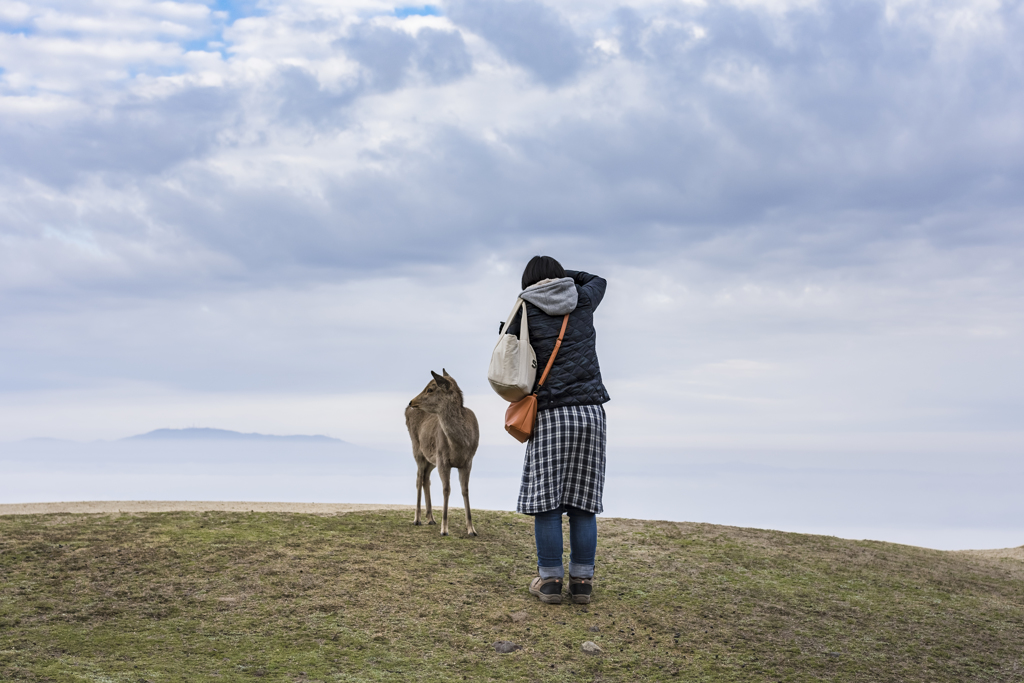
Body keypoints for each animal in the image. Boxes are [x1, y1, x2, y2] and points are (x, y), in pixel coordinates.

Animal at [403, 370, 479, 536]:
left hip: (431, 459)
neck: (459, 445)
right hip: (417, 449)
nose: (411, 402)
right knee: (419, 478)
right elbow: (446, 489)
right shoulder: (443, 459)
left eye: (430, 389)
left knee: (426, 478)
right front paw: (444, 529)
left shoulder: (468, 461)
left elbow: (465, 490)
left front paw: (472, 530)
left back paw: (431, 518)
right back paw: (417, 519)